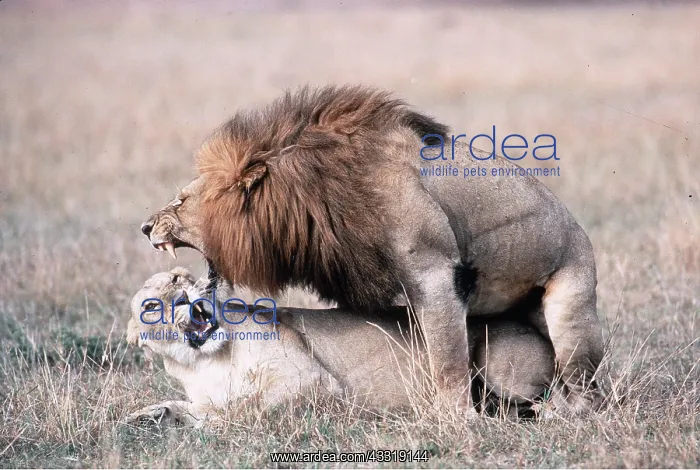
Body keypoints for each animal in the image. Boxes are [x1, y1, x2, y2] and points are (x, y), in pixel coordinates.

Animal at [125, 268, 557, 426]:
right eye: (150, 307)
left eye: (180, 277)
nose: (184, 296)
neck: (202, 362)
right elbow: (187, 405)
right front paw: (149, 415)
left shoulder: (312, 382)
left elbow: (246, 407)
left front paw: (210, 423)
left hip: (495, 360)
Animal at [140, 85, 604, 413]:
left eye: (180, 201)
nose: (144, 227)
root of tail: (580, 234)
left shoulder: (437, 275)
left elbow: (448, 361)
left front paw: (456, 420)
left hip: (570, 312)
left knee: (585, 395)